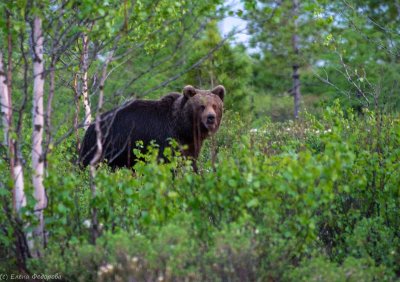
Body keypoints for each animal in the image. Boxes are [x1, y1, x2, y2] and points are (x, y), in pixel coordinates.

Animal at [78, 85, 225, 171]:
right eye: (201, 106)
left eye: (215, 105)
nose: (211, 117)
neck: (184, 128)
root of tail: (90, 126)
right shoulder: (165, 139)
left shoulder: (191, 143)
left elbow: (190, 161)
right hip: (102, 146)